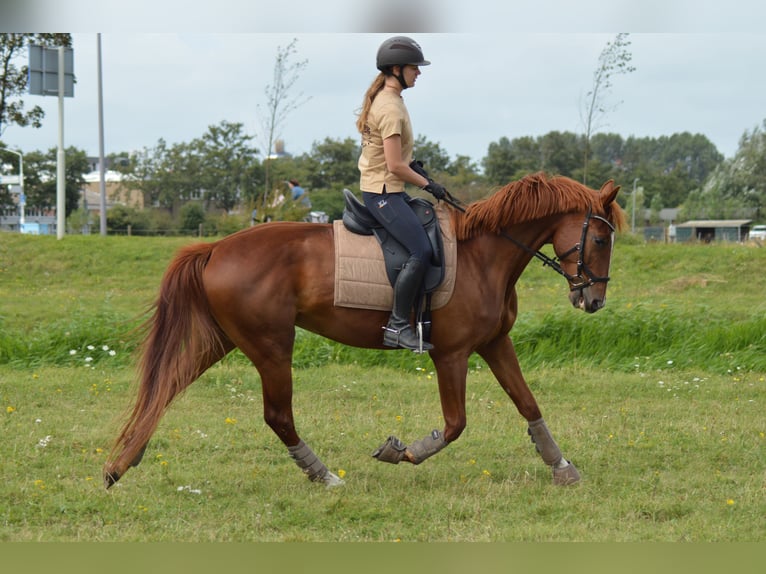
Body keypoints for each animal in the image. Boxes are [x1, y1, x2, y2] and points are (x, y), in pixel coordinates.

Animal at [105, 172, 628, 490]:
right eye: (602, 239)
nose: (594, 300)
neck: (485, 255)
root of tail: (216, 247)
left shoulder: (495, 344)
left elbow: (528, 403)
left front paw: (561, 466)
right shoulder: (451, 354)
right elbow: (455, 424)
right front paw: (401, 452)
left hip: (223, 339)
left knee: (167, 386)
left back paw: (121, 462)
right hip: (271, 347)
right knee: (277, 416)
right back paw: (324, 476)